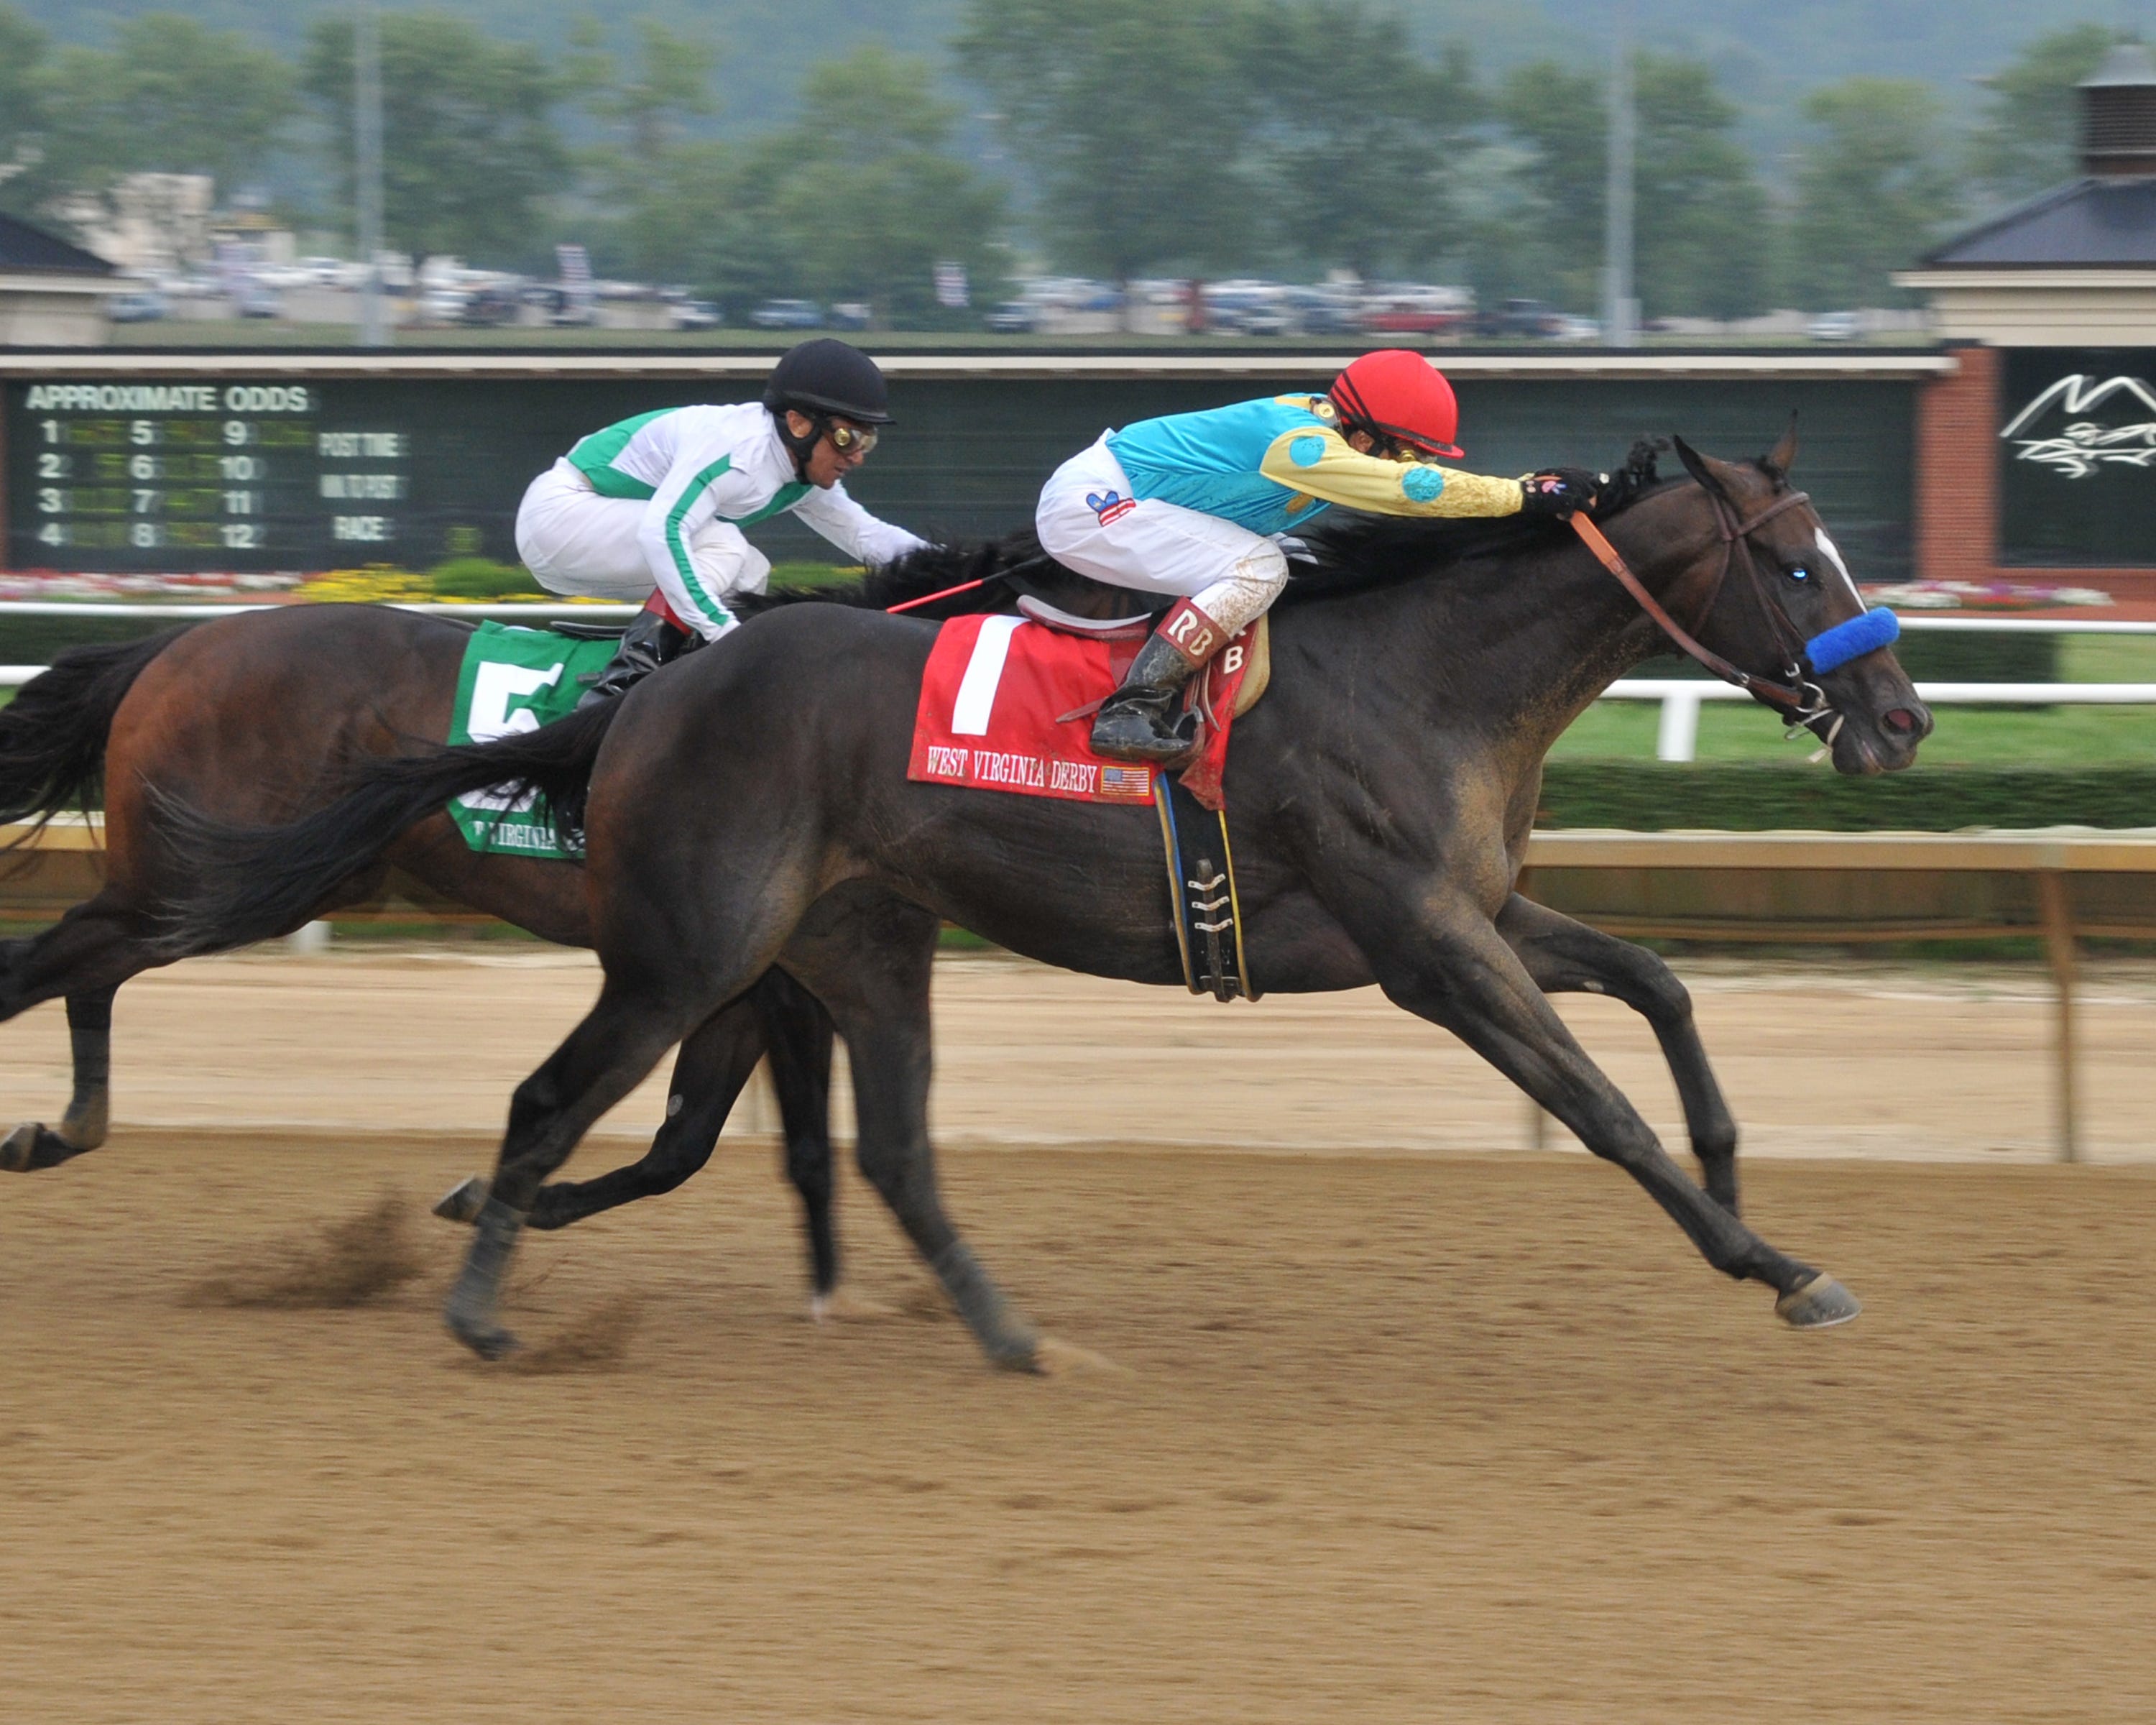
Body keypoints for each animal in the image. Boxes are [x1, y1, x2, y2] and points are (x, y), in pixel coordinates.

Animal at [0, 608, 849, 1294]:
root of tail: (178, 641)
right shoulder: (736, 968)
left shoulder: (739, 978)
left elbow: (686, 1143)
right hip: (209, 876)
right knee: (42, 964)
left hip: (257, 882)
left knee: (89, 970)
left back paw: (63, 1128)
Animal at [156, 438, 1940, 1371]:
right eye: (1796, 566)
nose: (1902, 719)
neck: (1427, 672)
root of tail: (662, 683)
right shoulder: (1420, 947)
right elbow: (1597, 1108)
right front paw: (1774, 1263)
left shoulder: (1477, 911)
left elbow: (1658, 985)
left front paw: (1743, 1176)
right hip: (696, 941)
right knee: (552, 1097)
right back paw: (477, 1304)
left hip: (851, 938)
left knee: (876, 1146)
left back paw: (1007, 1335)